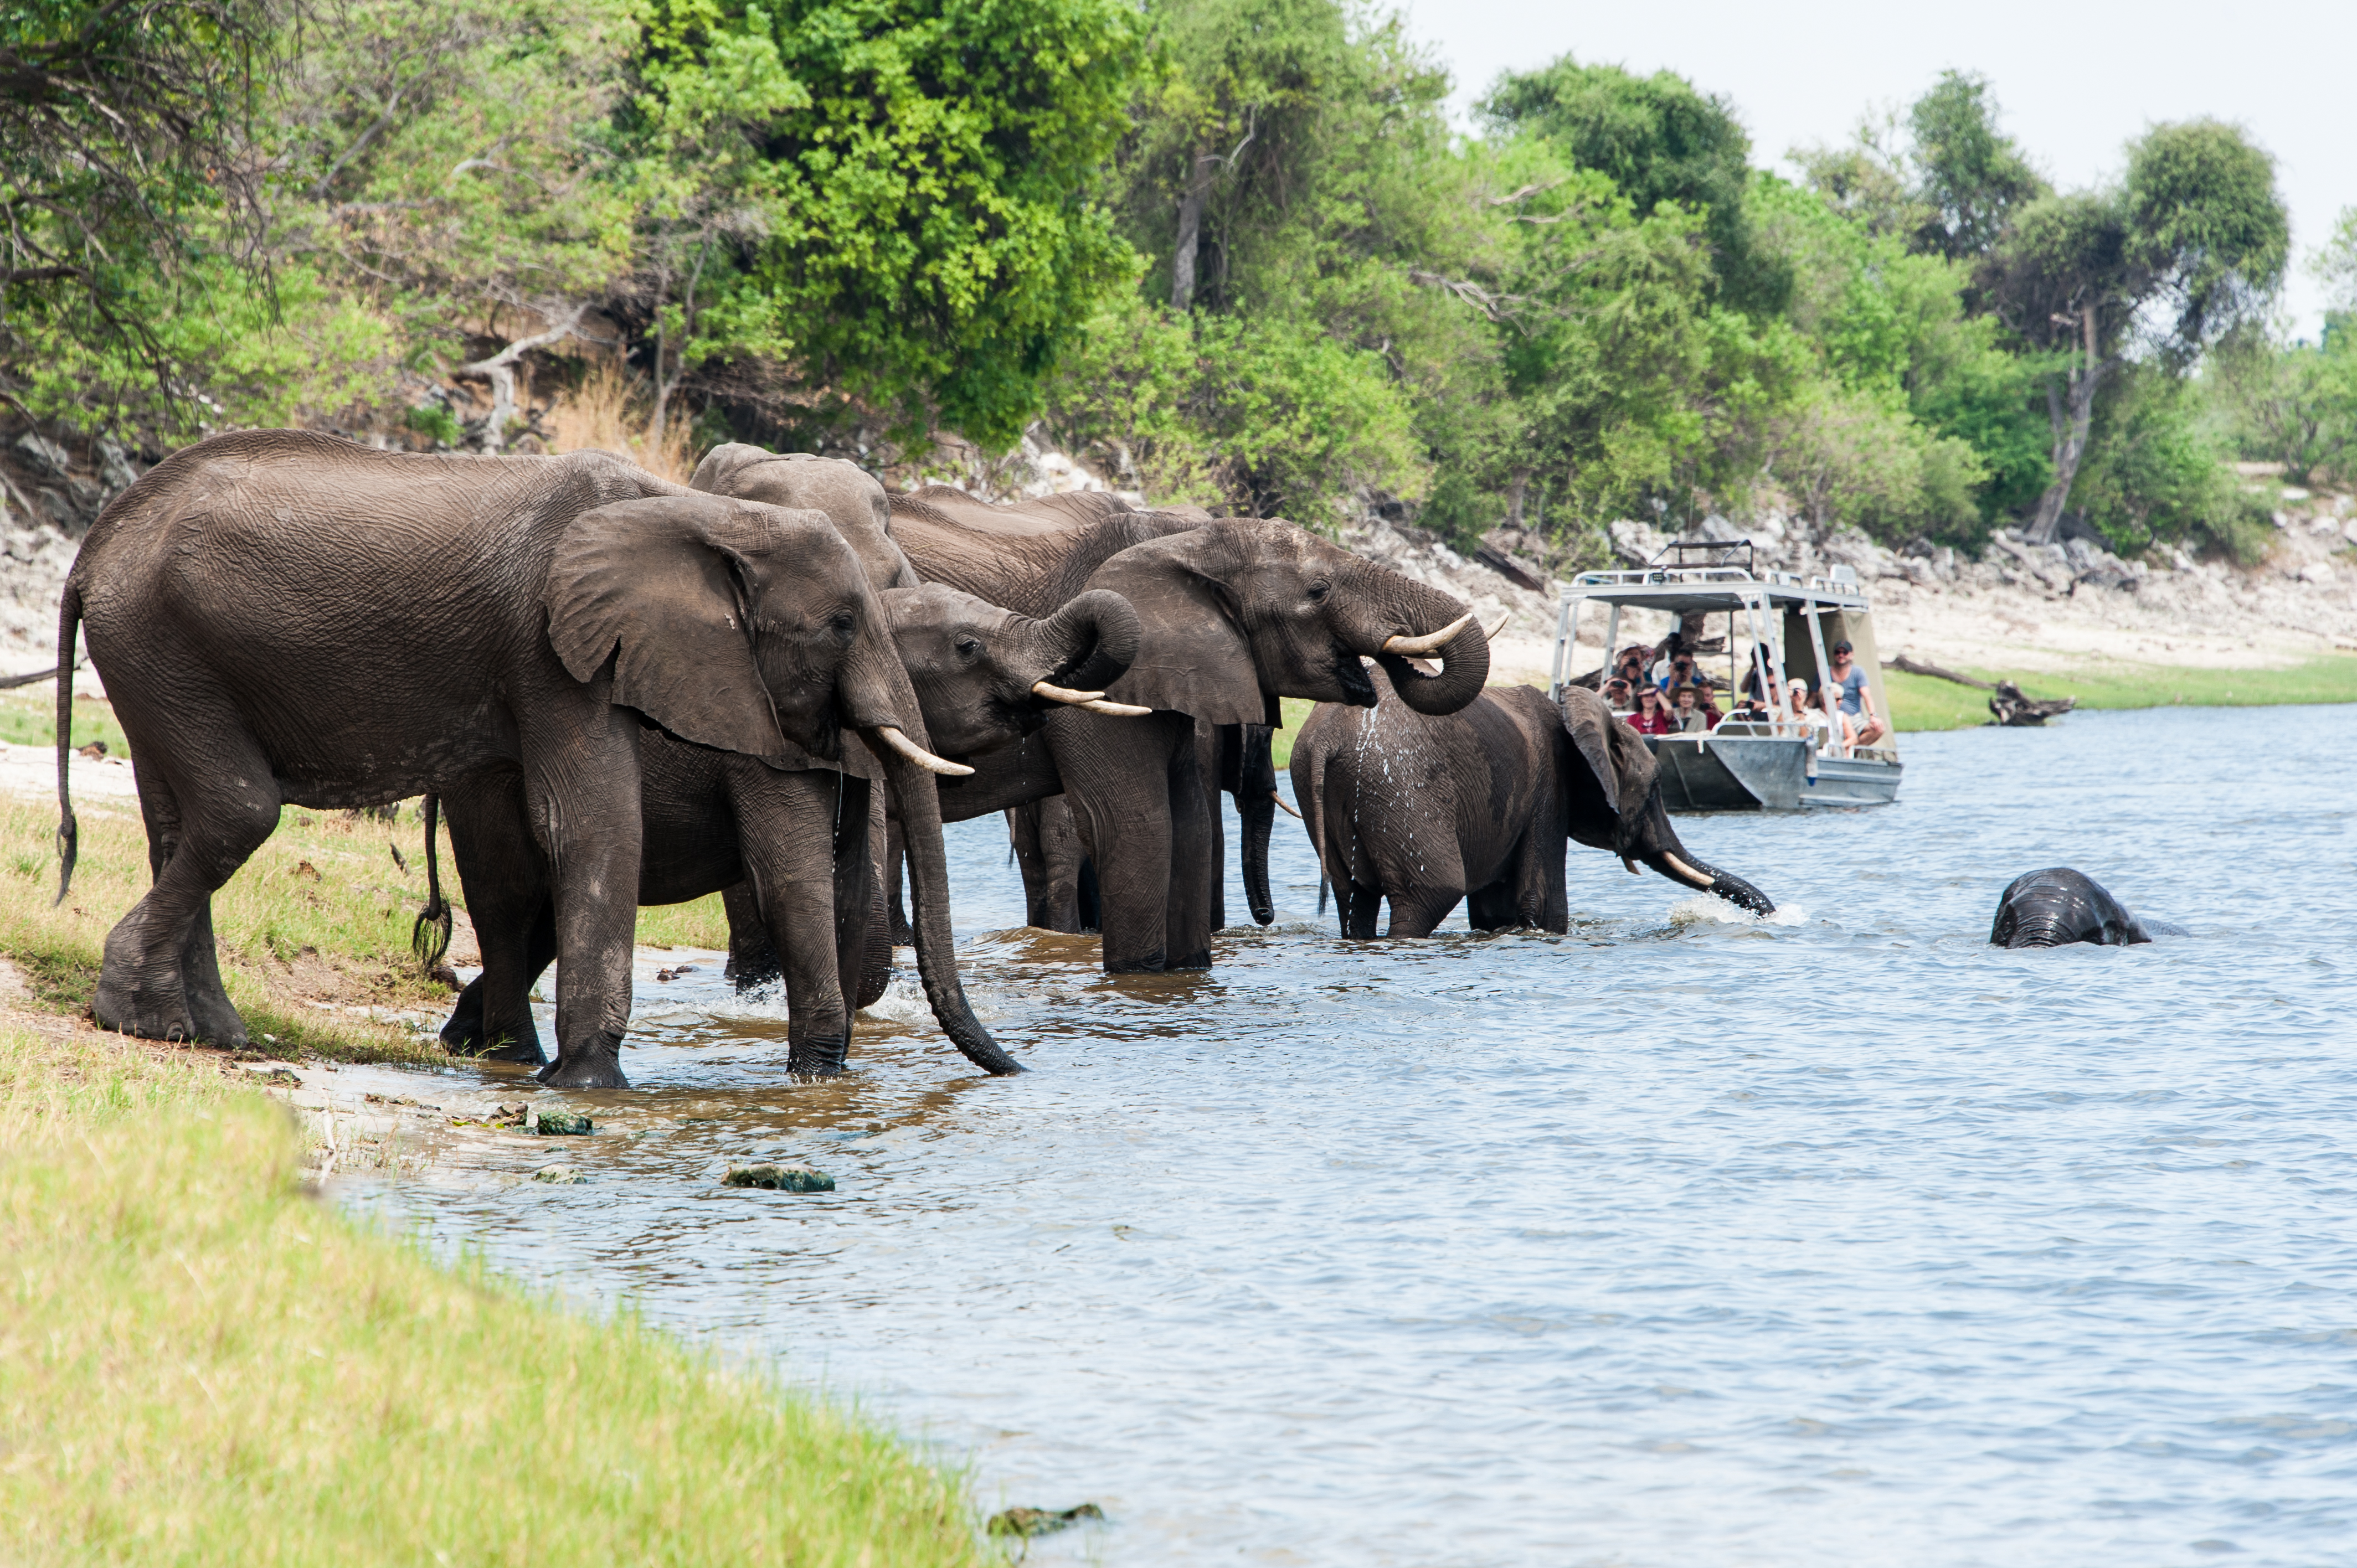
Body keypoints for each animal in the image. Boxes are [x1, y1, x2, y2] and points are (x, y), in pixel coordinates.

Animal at [55, 429, 980, 1089]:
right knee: (238, 808)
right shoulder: (549, 642)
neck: (695, 513)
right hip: (161, 640)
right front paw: (592, 1082)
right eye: (842, 624)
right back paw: (145, 1016)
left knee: (180, 820)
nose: (1005, 1069)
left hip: (157, 652)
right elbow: (594, 821)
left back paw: (200, 1029)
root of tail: (94, 547)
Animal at [438, 577, 1145, 1075]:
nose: (1024, 1070)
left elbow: (850, 886)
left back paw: (462, 1040)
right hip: (484, 789)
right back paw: (511, 1054)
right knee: (509, 904)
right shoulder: (772, 751)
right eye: (968, 648)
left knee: (550, 916)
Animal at [1291, 679, 1772, 933]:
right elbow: (1542, 903)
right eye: (1656, 786)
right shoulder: (1548, 791)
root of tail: (1326, 738)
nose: (1772, 916)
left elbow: (1495, 911)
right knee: (1429, 895)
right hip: (1399, 786)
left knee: (1354, 898)